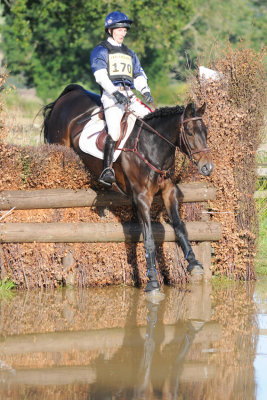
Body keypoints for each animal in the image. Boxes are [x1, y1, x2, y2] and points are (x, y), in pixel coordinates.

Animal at [43, 84, 215, 292]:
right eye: (189, 132)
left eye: (206, 132)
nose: (207, 167)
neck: (152, 147)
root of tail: (69, 95)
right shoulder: (141, 198)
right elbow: (148, 239)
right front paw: (152, 281)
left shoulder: (169, 192)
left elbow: (180, 226)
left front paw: (193, 262)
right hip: (59, 146)